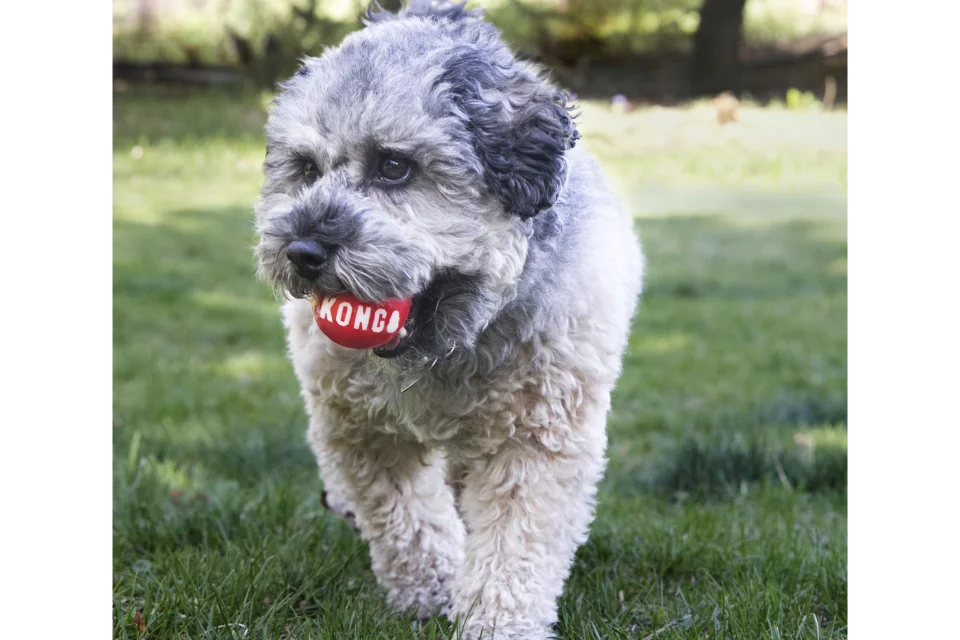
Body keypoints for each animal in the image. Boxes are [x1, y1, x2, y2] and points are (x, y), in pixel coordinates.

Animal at [253, 2, 644, 636]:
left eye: (394, 165)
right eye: (306, 168)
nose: (303, 251)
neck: (445, 351)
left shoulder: (536, 439)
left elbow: (513, 546)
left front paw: (494, 623)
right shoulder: (359, 429)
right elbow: (405, 517)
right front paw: (431, 590)